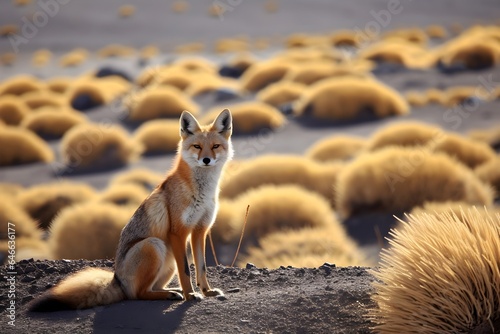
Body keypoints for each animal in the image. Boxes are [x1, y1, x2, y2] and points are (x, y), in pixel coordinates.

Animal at [29, 109, 234, 310]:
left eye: (215, 146)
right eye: (197, 147)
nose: (206, 160)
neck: (202, 192)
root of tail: (118, 280)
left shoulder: (200, 230)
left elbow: (201, 267)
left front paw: (207, 291)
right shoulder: (178, 232)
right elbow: (185, 270)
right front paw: (191, 295)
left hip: (167, 262)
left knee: (151, 288)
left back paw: (172, 291)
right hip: (154, 245)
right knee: (138, 294)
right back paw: (172, 294)